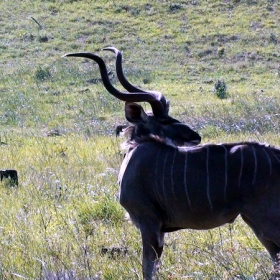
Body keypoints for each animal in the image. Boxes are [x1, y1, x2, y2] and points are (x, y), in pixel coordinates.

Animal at [64, 49, 280, 278]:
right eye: (165, 120)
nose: (195, 136)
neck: (136, 152)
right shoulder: (158, 230)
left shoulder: (149, 223)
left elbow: (148, 268)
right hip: (254, 221)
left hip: (265, 218)